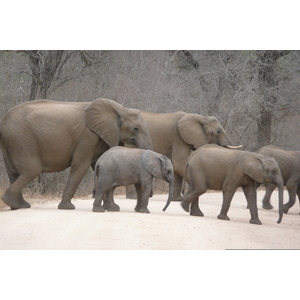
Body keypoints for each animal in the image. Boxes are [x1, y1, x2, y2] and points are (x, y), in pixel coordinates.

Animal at [0, 99, 152, 211]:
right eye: (136, 128)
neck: (120, 108)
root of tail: (3, 123)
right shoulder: (88, 136)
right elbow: (81, 166)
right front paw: (67, 207)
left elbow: (98, 166)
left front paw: (112, 208)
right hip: (22, 139)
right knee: (32, 170)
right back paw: (13, 202)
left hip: (11, 141)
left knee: (13, 173)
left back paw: (17, 205)